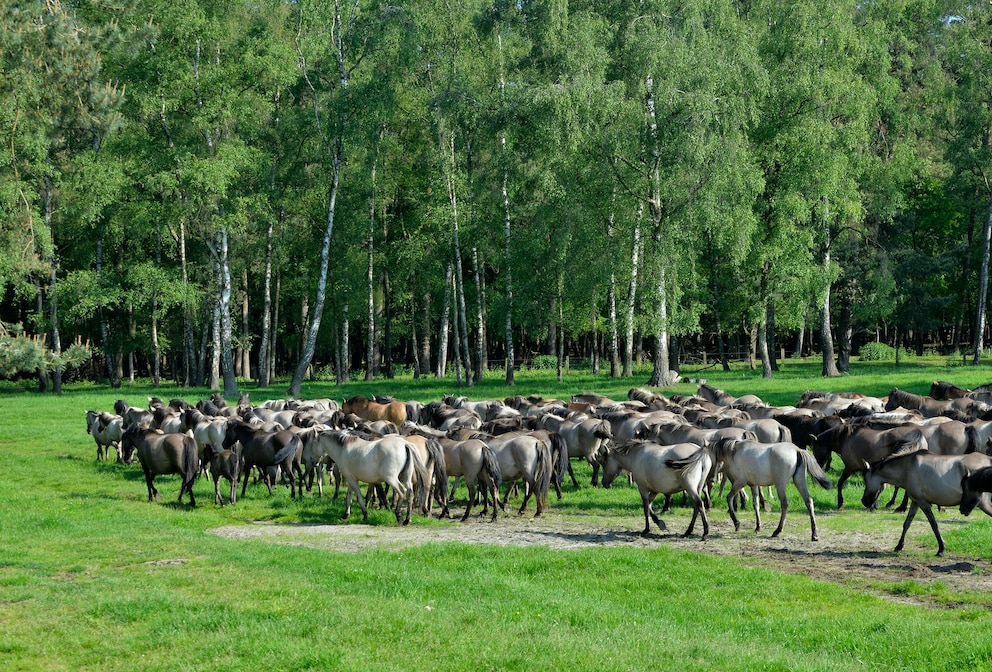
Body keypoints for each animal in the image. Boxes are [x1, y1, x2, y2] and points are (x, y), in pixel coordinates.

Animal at [300, 430, 428, 524]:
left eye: (310, 444)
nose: (311, 462)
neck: (343, 449)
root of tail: (405, 444)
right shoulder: (351, 479)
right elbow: (349, 497)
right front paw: (346, 514)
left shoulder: (353, 480)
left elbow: (359, 497)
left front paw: (365, 514)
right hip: (406, 478)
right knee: (409, 493)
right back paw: (407, 519)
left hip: (391, 479)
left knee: (402, 492)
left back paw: (399, 516)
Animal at [856, 446, 992, 556]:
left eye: (865, 480)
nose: (864, 501)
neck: (907, 468)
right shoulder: (915, 501)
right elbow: (907, 523)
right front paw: (899, 546)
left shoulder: (923, 502)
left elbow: (933, 524)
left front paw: (941, 549)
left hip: (984, 504)